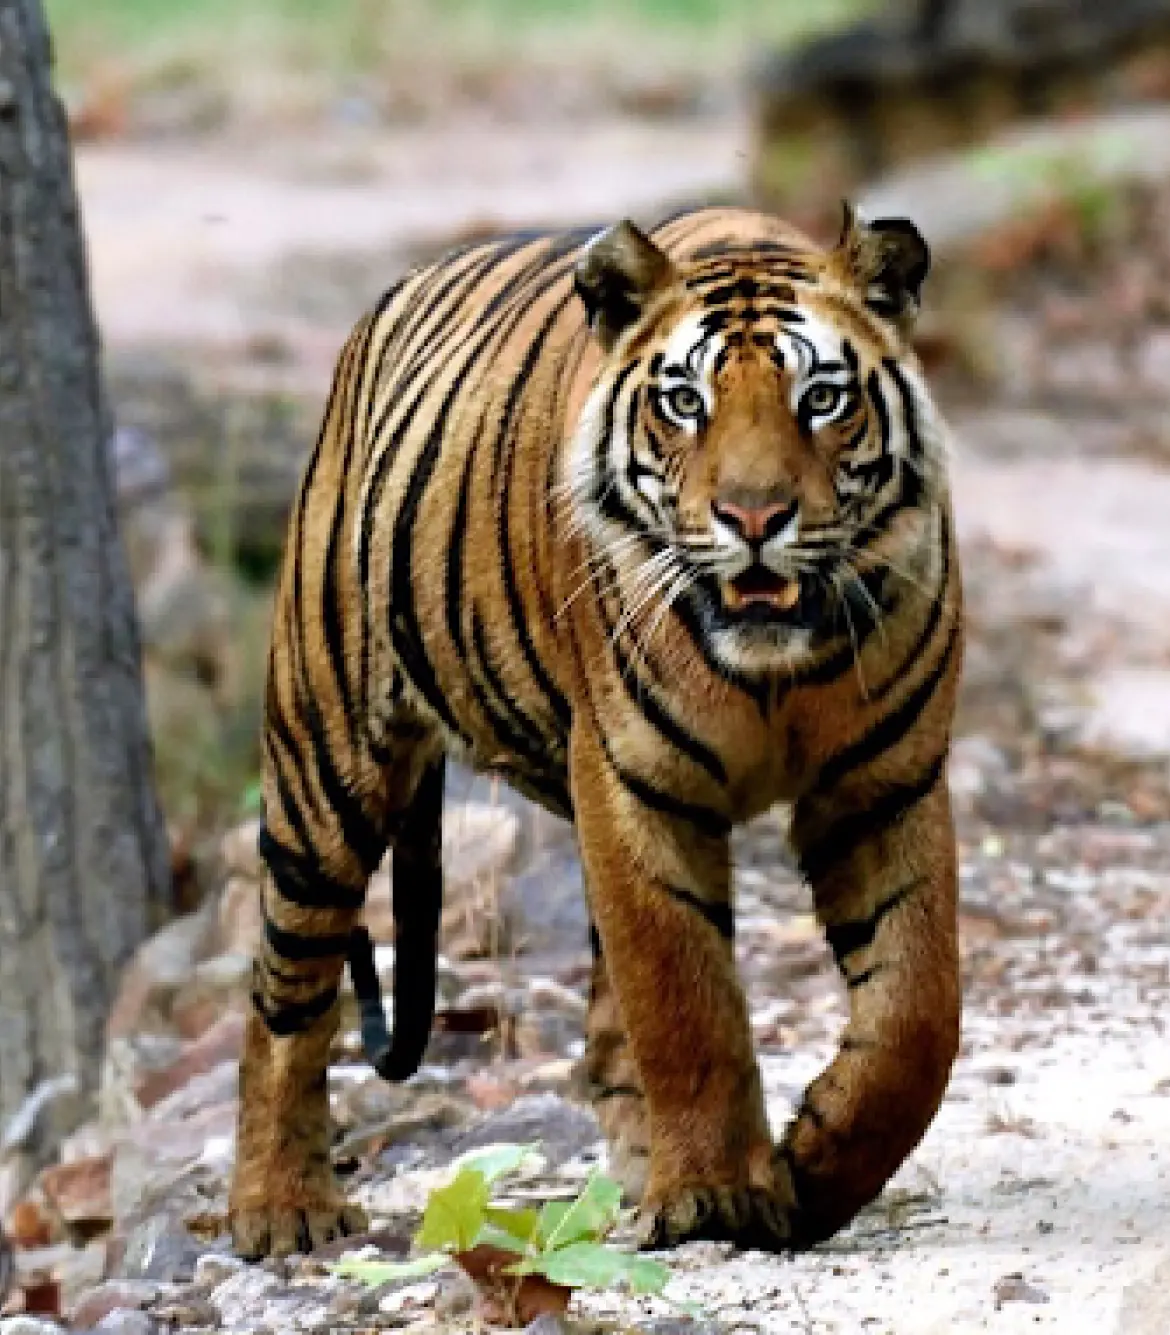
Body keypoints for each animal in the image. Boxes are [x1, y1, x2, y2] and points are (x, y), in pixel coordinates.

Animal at [228, 202, 961, 1254]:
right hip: (322, 770)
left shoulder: (885, 782)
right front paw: (713, 1197)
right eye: (685, 402)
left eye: (822, 398)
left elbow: (916, 1014)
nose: (753, 517)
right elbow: (683, 1000)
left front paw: (816, 1163)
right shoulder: (631, 777)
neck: (778, 671)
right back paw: (281, 1206)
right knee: (283, 993)